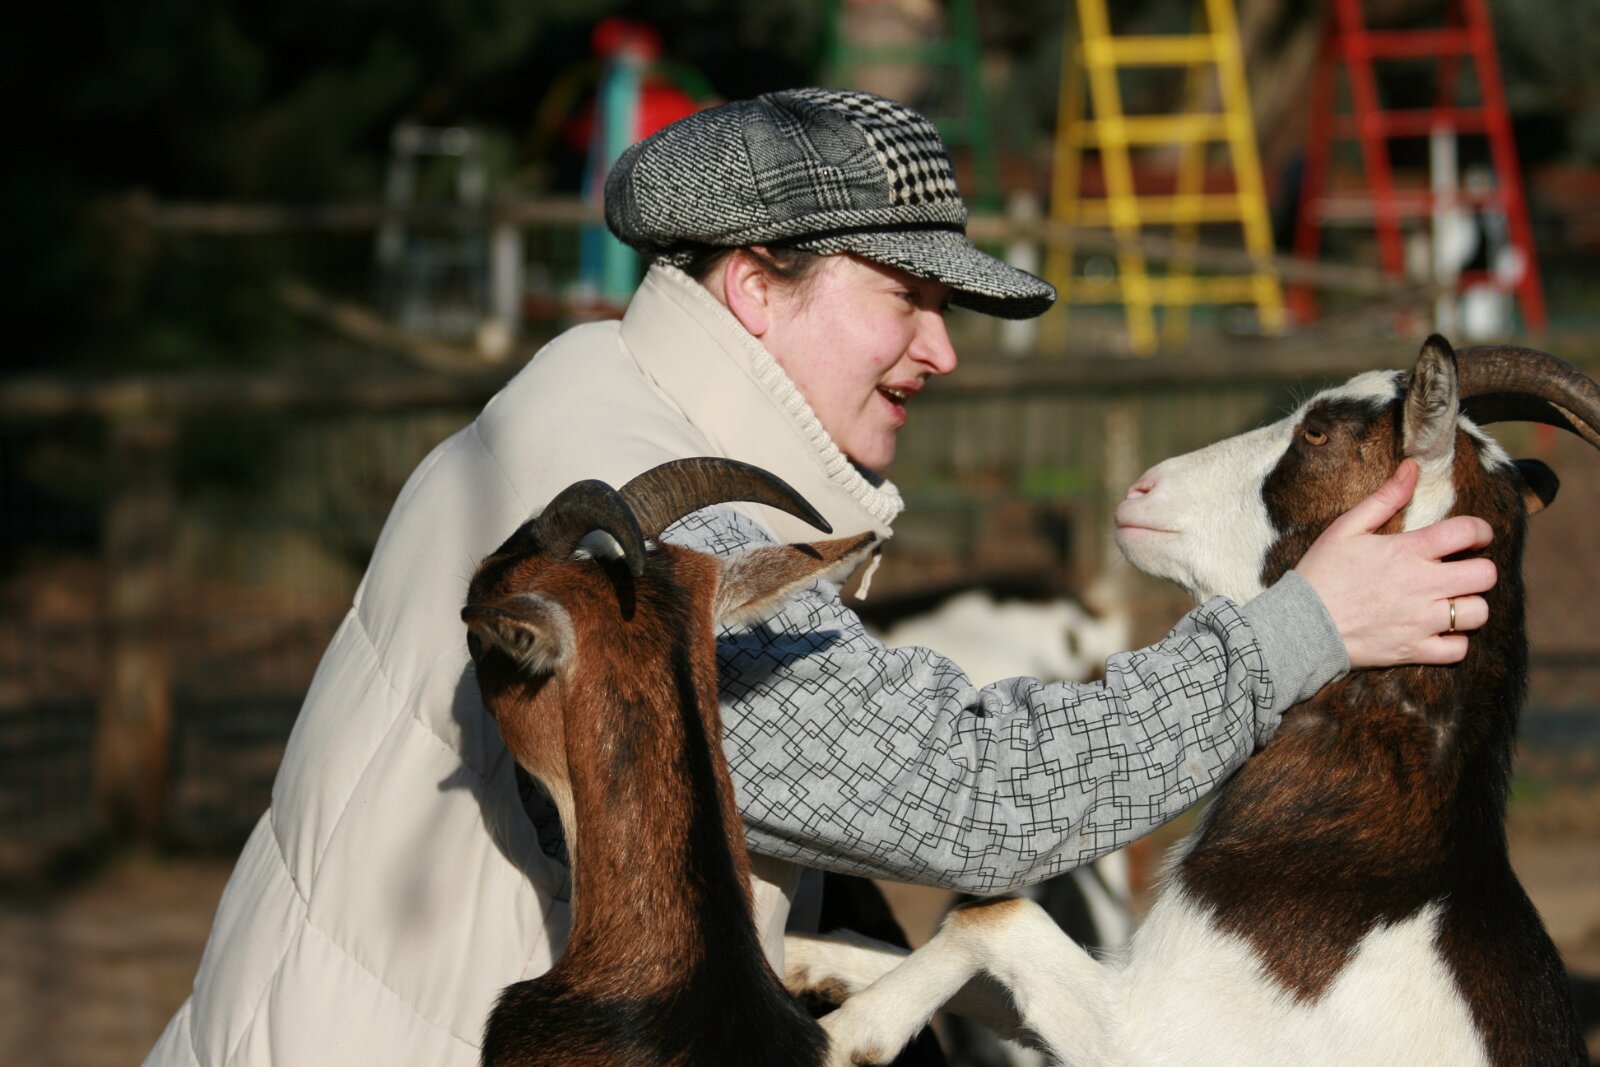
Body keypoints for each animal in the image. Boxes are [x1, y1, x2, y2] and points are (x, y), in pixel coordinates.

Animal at [787, 336, 1594, 1067]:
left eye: (1317, 432)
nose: (1142, 490)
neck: (1383, 859)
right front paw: (806, 954)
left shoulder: (1151, 1034)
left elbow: (996, 916)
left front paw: (851, 1031)